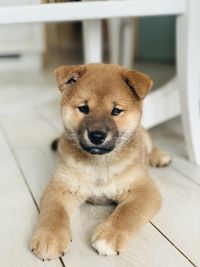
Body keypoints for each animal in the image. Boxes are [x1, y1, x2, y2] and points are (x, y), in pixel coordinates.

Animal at [30, 63, 171, 262]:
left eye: (116, 111)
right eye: (83, 108)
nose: (96, 136)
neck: (100, 163)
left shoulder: (144, 190)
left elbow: (128, 213)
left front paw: (109, 236)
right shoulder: (60, 187)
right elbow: (53, 212)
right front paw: (49, 236)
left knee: (151, 145)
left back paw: (159, 156)